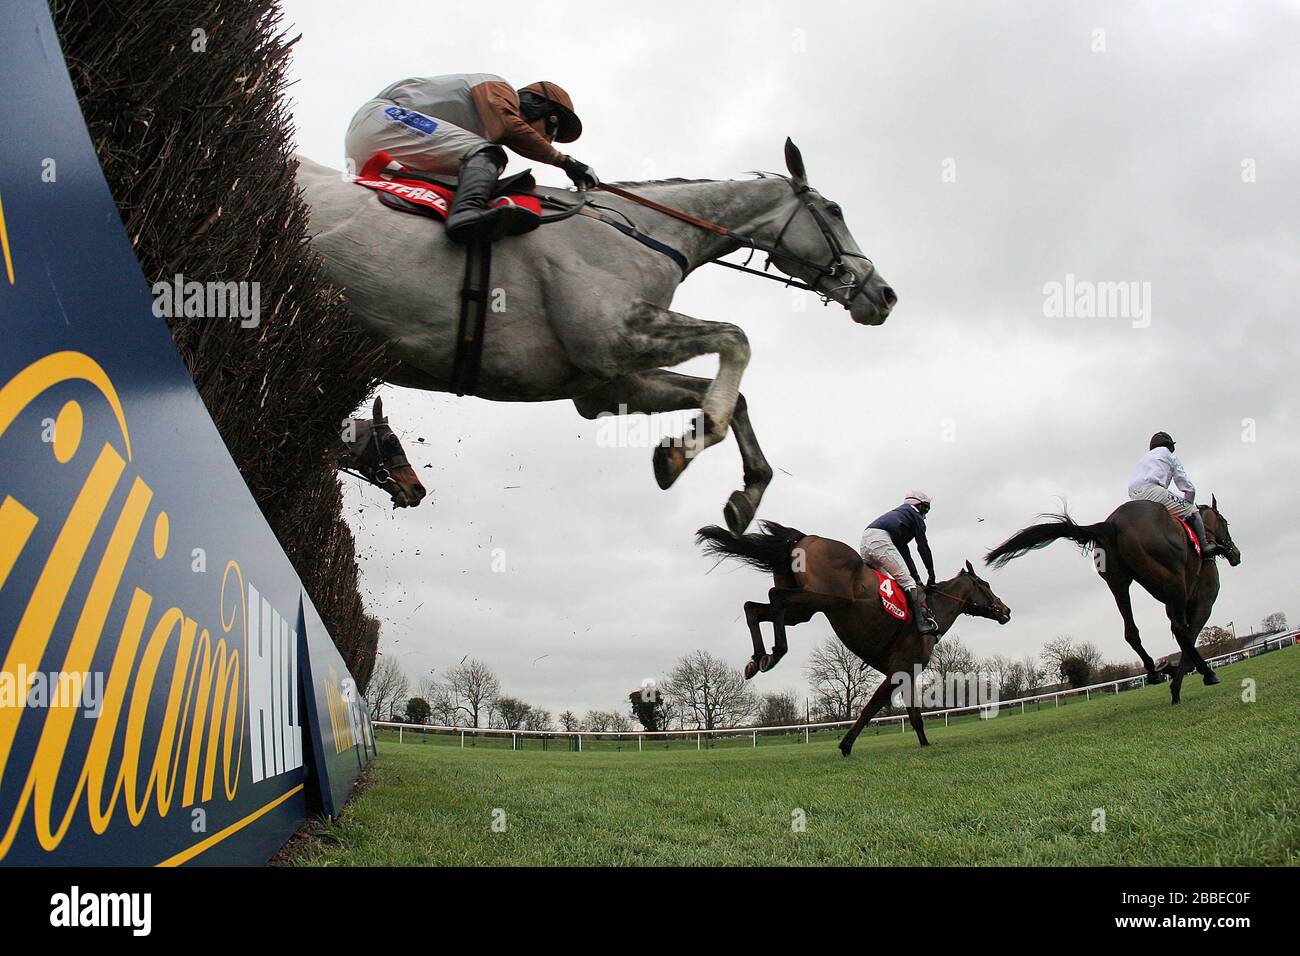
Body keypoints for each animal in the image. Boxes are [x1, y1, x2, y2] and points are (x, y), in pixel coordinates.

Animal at [297, 138, 894, 535]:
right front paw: (690, 443)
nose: (883, 295)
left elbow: (733, 397)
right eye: (834, 210)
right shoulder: (611, 336)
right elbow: (736, 339)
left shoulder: (606, 385)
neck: (644, 232)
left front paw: (739, 491)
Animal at [696, 522, 1008, 754]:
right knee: (775, 598)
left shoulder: (906, 673)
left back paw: (760, 657)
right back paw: (776, 651)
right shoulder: (900, 670)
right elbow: (872, 709)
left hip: (804, 610)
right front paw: (846, 745)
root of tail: (806, 538)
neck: (933, 611)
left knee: (755, 607)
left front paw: (924, 743)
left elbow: (914, 715)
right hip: (826, 599)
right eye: (986, 585)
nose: (1005, 610)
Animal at [982, 496, 1237, 707]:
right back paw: (1192, 676)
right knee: (1177, 630)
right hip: (1170, 582)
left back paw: (1155, 671)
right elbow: (1189, 635)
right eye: (1225, 522)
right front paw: (1192, 674)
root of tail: (1112, 523)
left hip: (1118, 583)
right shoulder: (1202, 604)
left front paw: (1171, 669)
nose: (1235, 553)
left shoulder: (1174, 603)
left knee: (1132, 632)